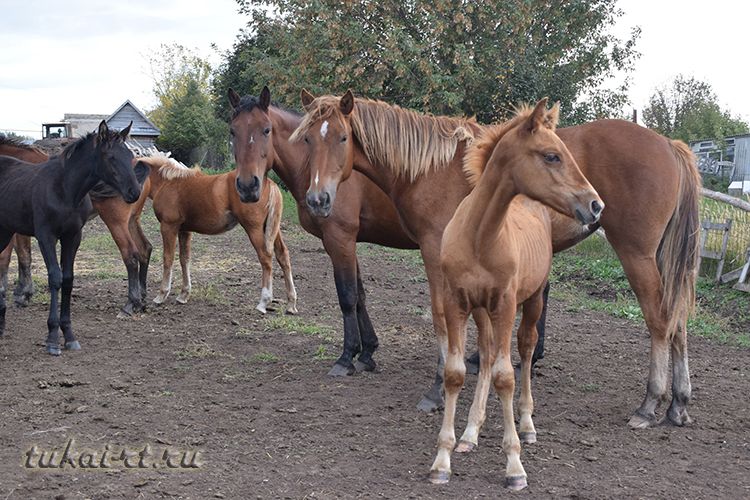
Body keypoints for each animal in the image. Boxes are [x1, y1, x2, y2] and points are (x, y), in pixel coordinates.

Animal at [138, 152, 296, 314]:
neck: (168, 182)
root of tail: (269, 183)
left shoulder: (168, 227)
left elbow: (168, 258)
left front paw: (161, 295)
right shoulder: (184, 230)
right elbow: (184, 259)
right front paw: (184, 295)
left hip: (254, 228)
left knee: (265, 258)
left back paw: (263, 302)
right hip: (272, 228)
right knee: (283, 255)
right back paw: (291, 303)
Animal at [229, 87, 418, 376]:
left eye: (266, 129)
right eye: (232, 131)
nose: (248, 186)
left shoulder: (340, 240)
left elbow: (348, 296)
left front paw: (347, 357)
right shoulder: (347, 244)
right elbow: (360, 296)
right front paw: (367, 353)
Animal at [296, 90, 704, 430]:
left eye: (343, 138)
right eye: (308, 138)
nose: (318, 198)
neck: (429, 169)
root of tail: (669, 144)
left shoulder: (434, 253)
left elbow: (440, 319)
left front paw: (436, 388)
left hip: (636, 253)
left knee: (659, 319)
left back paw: (649, 404)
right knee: (678, 321)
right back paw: (678, 404)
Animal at [432, 99, 604, 490]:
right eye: (552, 155)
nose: (596, 205)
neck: (480, 236)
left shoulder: (506, 304)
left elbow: (505, 376)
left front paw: (514, 465)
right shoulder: (457, 302)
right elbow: (457, 373)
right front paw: (443, 459)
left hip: (532, 299)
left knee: (525, 349)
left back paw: (526, 425)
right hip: (483, 310)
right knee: (488, 351)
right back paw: (470, 433)